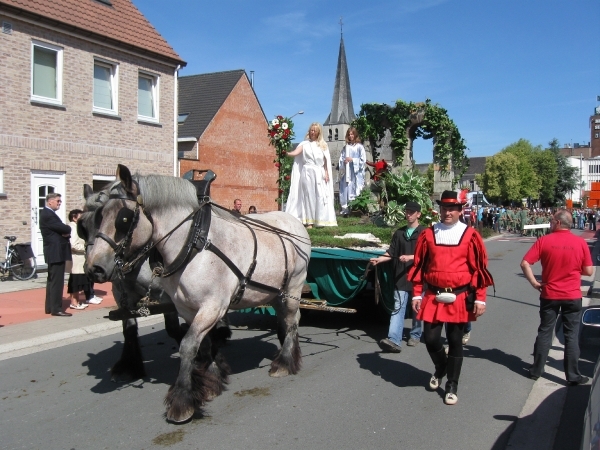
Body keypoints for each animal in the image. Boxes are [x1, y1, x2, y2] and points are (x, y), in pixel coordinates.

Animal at [82, 183, 234, 384]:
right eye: (82, 227)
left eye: (123, 220)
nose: (94, 269)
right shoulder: (122, 296)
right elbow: (129, 328)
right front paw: (129, 366)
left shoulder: (167, 296)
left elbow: (173, 329)